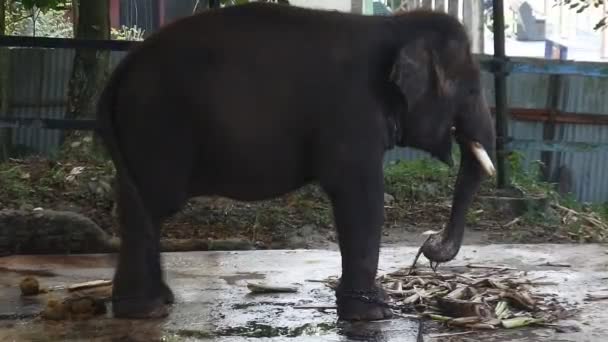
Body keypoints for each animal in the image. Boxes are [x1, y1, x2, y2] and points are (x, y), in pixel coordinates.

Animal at [94, 2, 494, 322]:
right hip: (158, 125)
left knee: (138, 205)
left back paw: (156, 301)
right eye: (472, 89)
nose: (429, 247)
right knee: (152, 203)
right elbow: (359, 194)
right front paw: (375, 314)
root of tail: (120, 71)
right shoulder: (353, 113)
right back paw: (146, 309)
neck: (397, 25)